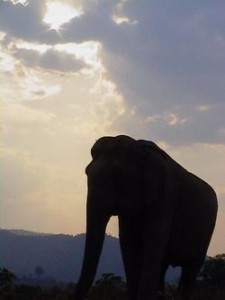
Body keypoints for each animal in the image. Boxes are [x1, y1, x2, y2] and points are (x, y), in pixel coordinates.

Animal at [74, 135, 217, 300]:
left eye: (118, 176)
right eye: (86, 172)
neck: (140, 147)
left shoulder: (166, 197)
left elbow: (153, 238)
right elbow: (128, 242)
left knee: (191, 269)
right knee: (163, 265)